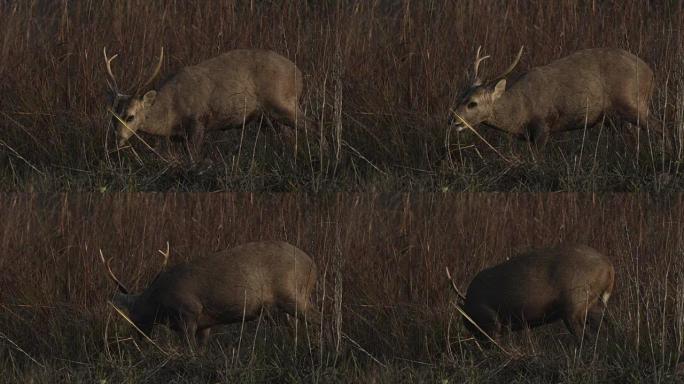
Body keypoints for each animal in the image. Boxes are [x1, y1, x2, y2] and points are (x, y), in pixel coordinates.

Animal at [99, 242, 320, 350]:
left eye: (133, 315)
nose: (139, 338)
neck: (158, 300)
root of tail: (312, 264)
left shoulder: (189, 311)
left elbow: (189, 349)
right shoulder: (205, 324)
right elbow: (202, 348)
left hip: (291, 293)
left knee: (315, 316)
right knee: (292, 327)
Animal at [103, 47, 324, 160]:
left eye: (130, 116)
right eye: (112, 116)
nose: (116, 140)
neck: (171, 110)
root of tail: (298, 74)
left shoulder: (198, 121)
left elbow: (194, 159)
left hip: (282, 102)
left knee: (313, 124)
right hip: (267, 117)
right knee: (288, 136)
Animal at [446, 46, 664, 150]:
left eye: (473, 103)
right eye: (459, 97)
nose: (452, 120)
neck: (520, 109)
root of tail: (650, 73)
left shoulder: (543, 125)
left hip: (632, 102)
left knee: (658, 126)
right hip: (612, 117)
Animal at [448, 243, 616, 342]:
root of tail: (609, 266)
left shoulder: (490, 321)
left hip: (574, 304)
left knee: (585, 335)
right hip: (593, 305)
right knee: (605, 327)